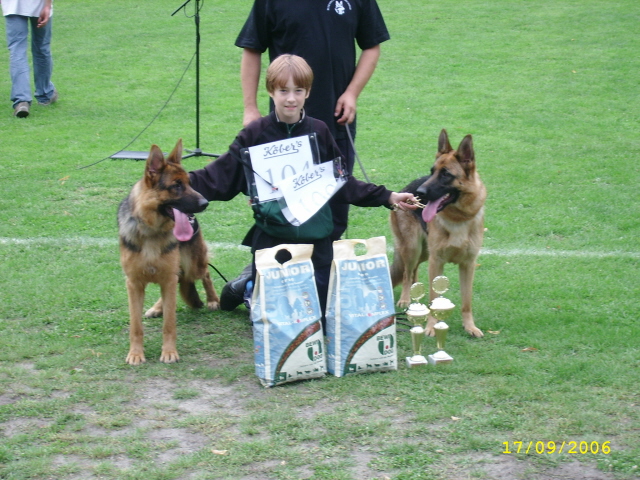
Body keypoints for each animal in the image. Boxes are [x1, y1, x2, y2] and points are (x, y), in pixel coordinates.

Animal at [117, 139, 220, 364]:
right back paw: (157, 307)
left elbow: (169, 324)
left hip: (192, 265)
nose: (205, 203)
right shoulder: (134, 283)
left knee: (206, 273)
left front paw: (169, 352)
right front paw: (135, 354)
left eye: (190, 183)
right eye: (177, 185)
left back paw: (212, 300)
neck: (151, 232)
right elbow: (135, 326)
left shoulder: (169, 278)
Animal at [388, 129, 488, 336]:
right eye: (432, 171)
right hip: (413, 249)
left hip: (424, 253)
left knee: (414, 272)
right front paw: (431, 327)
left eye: (446, 174)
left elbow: (467, 301)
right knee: (407, 274)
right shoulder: (437, 262)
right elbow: (434, 299)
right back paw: (406, 299)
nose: (419, 194)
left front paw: (470, 327)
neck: (458, 219)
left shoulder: (468, 265)